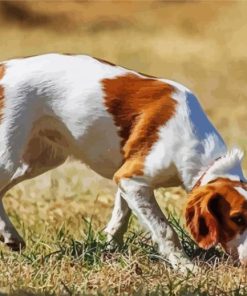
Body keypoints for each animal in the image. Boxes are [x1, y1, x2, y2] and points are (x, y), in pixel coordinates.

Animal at [0, 53, 247, 270]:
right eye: (237, 219)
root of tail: (4, 67)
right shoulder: (132, 179)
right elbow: (165, 229)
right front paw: (185, 266)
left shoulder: (126, 177)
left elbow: (121, 214)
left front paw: (112, 248)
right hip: (9, 155)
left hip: (41, 159)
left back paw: (9, 235)